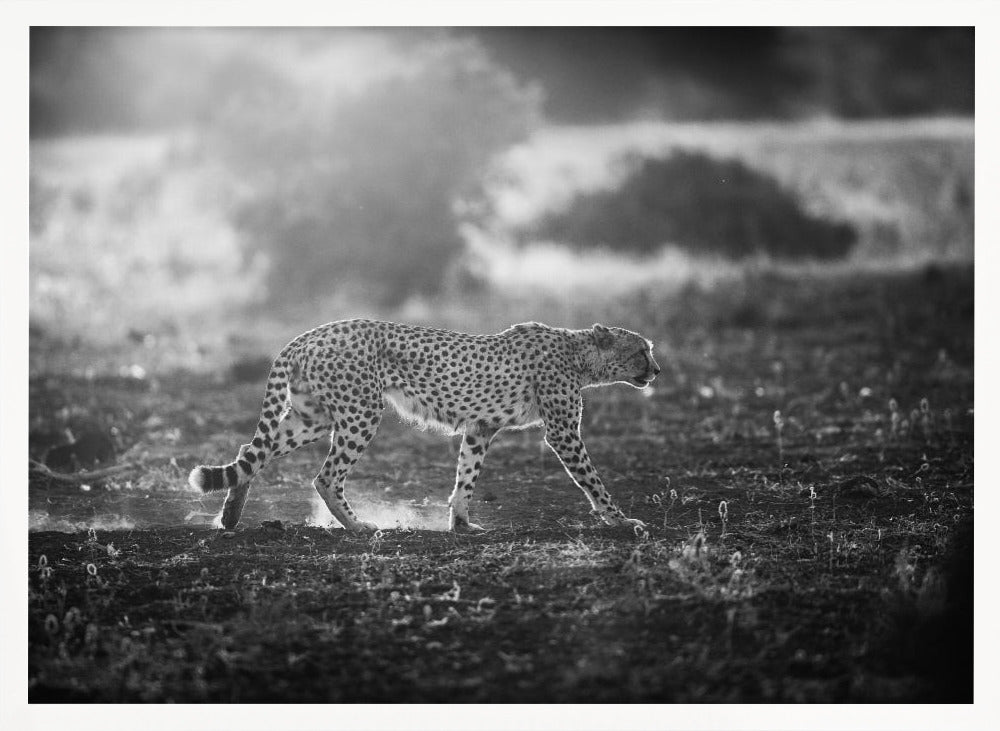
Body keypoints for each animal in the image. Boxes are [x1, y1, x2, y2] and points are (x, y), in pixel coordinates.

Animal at [188, 319, 660, 533]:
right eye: (641, 351)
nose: (656, 370)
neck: (580, 354)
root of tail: (309, 334)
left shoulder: (480, 428)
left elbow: (466, 476)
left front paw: (461, 524)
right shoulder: (562, 432)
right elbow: (592, 479)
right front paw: (621, 520)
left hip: (312, 417)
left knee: (252, 453)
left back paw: (230, 515)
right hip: (361, 412)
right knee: (325, 476)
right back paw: (358, 526)